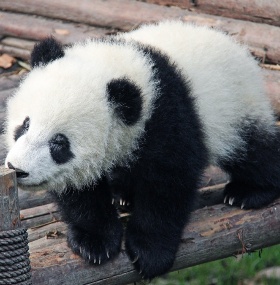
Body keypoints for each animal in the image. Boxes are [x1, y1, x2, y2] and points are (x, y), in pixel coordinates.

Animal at [3, 21, 280, 278]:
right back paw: (124, 194)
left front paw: (150, 253)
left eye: (59, 143)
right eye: (25, 125)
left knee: (251, 149)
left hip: (235, 104)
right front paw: (95, 242)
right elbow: (81, 191)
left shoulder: (167, 116)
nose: (18, 169)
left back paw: (249, 192)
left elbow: (168, 184)